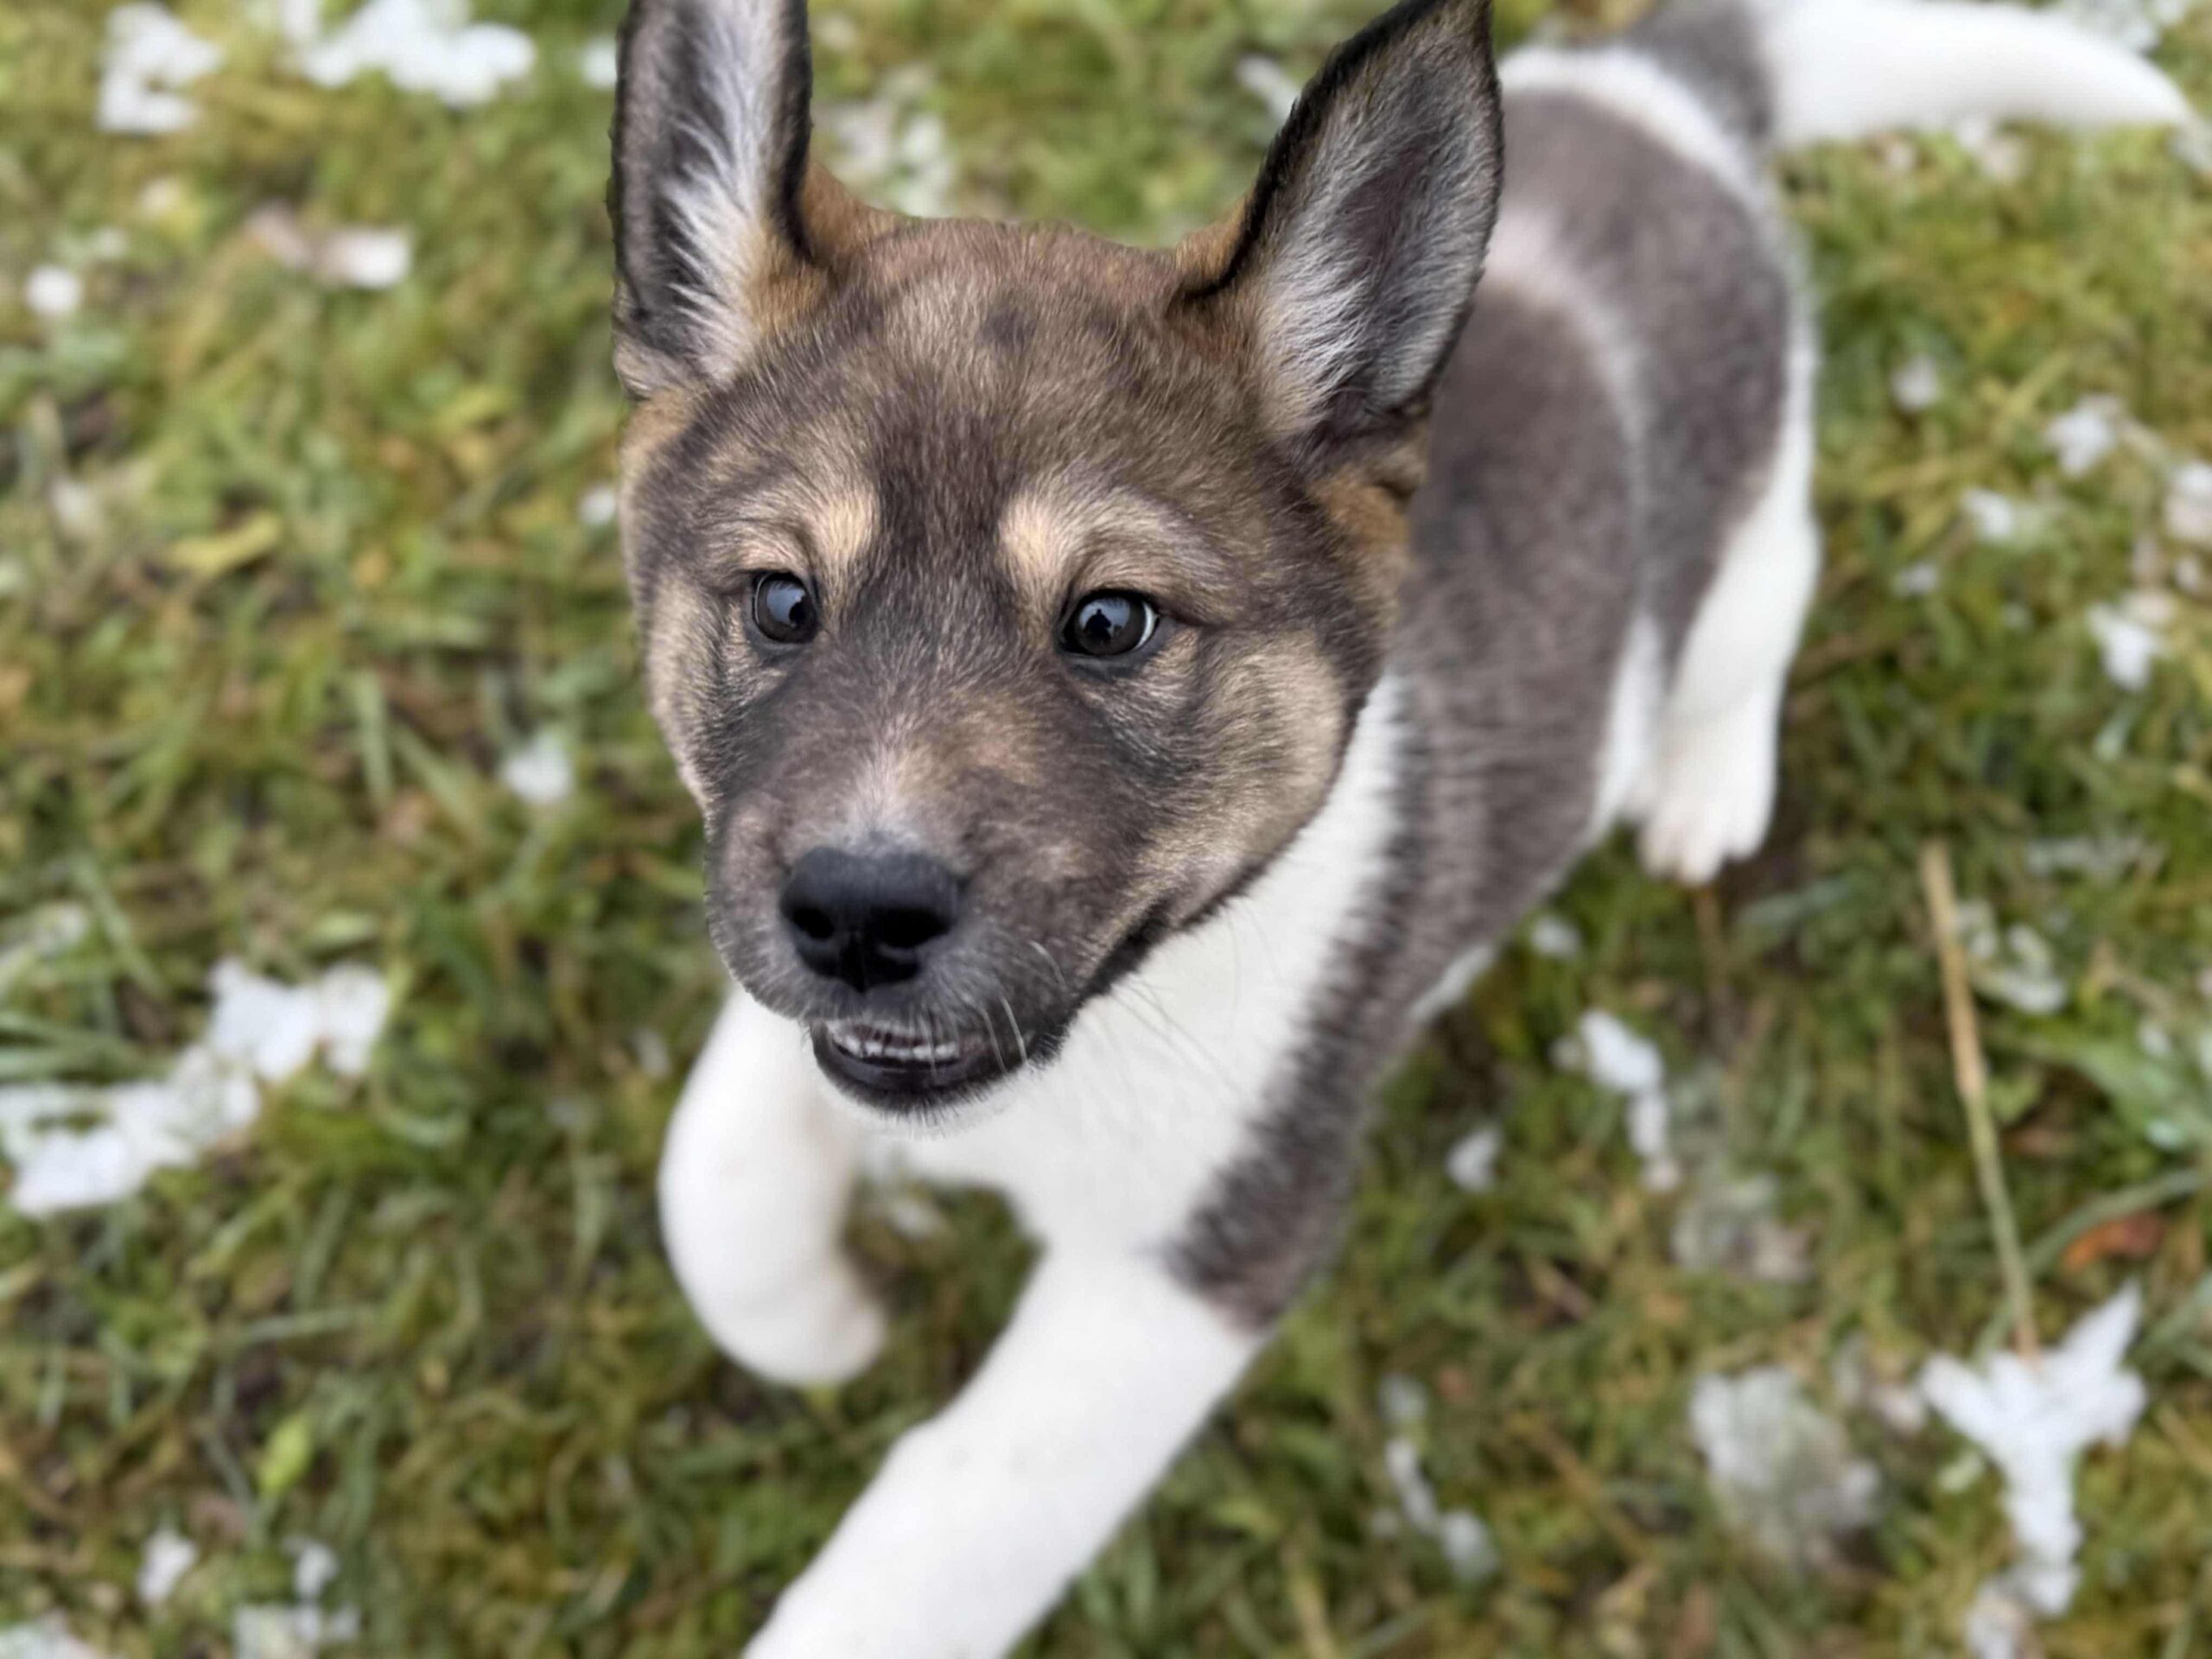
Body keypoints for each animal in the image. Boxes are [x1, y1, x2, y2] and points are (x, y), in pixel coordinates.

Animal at [606, 0, 2188, 1649]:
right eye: (784, 602)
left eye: (1109, 624)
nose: (859, 916)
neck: (1109, 1034)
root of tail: (1660, 91)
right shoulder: (769, 930)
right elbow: (709, 1169)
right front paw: (817, 1324)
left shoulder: (1210, 1254)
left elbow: (942, 1532)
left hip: (1750, 530)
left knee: (1766, 606)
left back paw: (1706, 784)